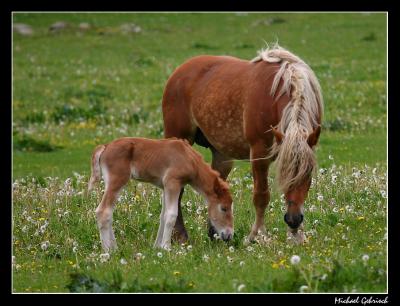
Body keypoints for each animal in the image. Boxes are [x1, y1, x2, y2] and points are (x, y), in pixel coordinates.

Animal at [87, 137, 231, 251]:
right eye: (224, 208)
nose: (229, 235)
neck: (189, 158)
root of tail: (105, 147)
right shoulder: (172, 182)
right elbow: (171, 215)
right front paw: (167, 247)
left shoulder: (165, 187)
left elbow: (163, 215)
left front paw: (157, 247)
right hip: (117, 180)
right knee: (103, 211)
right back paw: (108, 251)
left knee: (109, 212)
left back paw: (114, 247)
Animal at [161, 45, 324, 245]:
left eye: (308, 173)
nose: (293, 220)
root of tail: (179, 72)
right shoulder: (259, 153)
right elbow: (261, 196)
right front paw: (257, 235)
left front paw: (296, 236)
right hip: (180, 139)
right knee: (177, 192)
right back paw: (180, 236)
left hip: (221, 154)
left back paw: (214, 234)